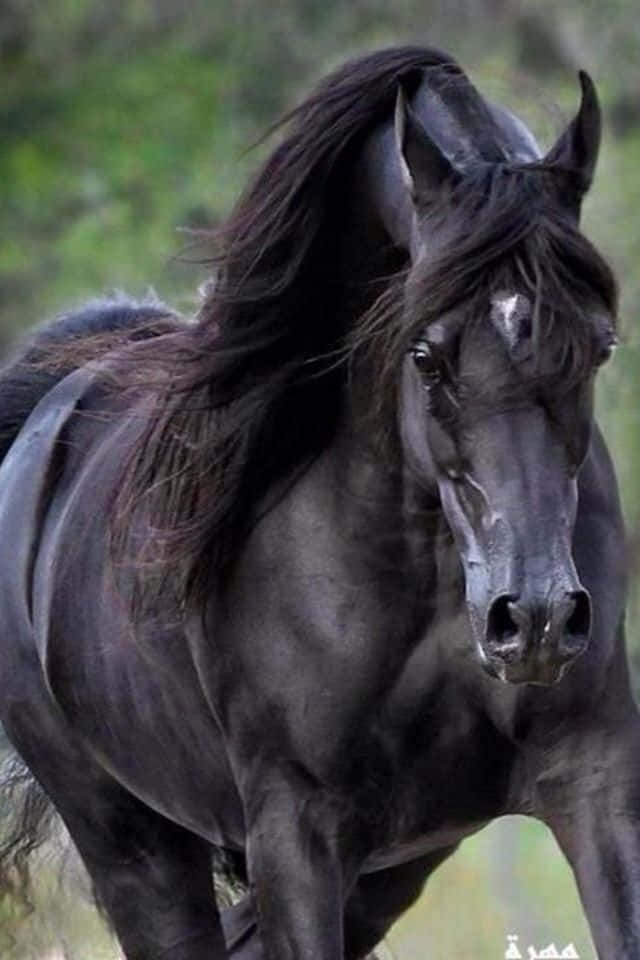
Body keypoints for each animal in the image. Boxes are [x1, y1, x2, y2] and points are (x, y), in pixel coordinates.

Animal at [0, 44, 633, 959]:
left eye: (599, 345)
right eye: (425, 354)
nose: (536, 619)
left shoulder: (594, 782)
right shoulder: (295, 833)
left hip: (387, 873)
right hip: (132, 844)